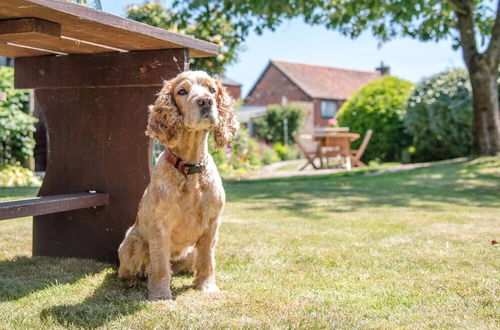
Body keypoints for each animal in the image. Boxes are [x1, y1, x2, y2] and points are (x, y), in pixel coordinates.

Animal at [119, 71, 240, 300]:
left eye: (212, 90)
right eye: (182, 91)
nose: (206, 101)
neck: (190, 168)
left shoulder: (212, 223)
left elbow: (207, 259)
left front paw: (207, 286)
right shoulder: (160, 226)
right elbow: (160, 265)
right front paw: (160, 295)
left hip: (190, 252)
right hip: (132, 243)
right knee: (129, 271)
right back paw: (133, 280)